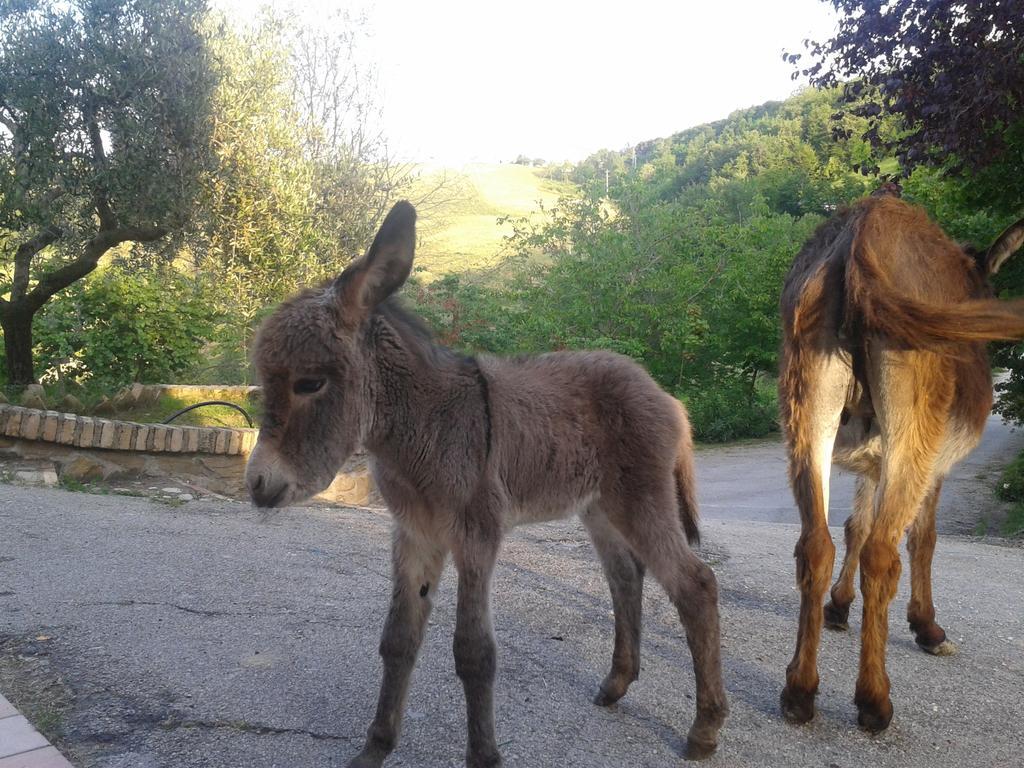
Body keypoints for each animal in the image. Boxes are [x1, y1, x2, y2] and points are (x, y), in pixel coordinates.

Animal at [245, 201, 729, 765]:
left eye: (309, 383)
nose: (256, 484)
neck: (423, 426)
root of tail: (664, 393)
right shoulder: (415, 535)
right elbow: (398, 639)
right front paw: (376, 747)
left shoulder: (476, 534)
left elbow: (473, 652)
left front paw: (484, 755)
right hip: (599, 508)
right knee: (627, 576)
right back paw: (617, 684)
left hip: (641, 499)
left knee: (695, 585)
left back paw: (704, 730)